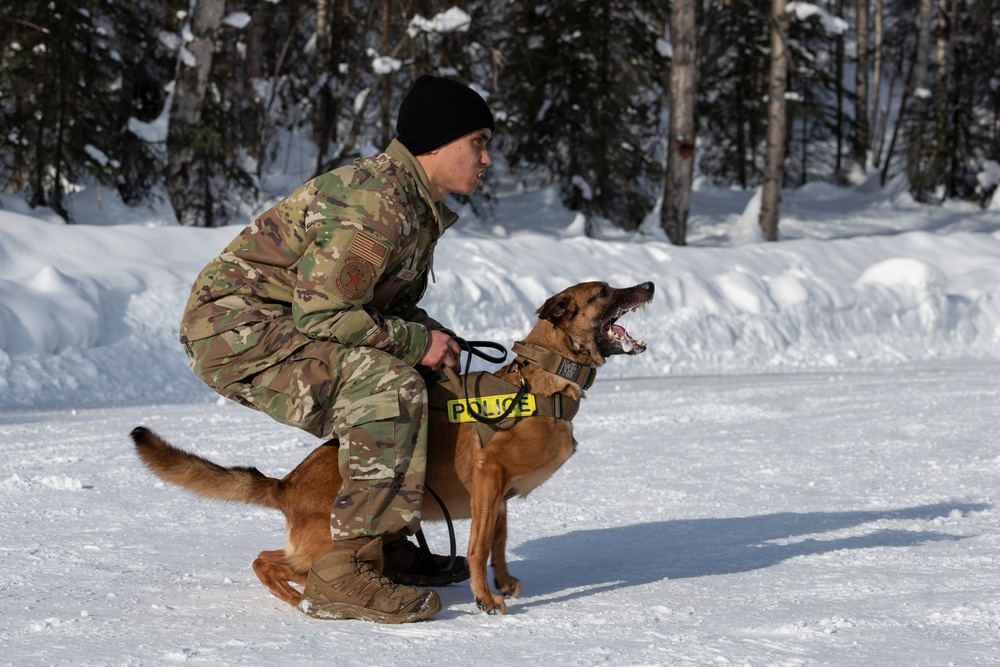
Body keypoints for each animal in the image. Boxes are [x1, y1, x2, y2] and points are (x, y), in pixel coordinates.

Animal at [129, 282, 652, 616]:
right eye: (603, 292)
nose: (647, 284)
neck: (544, 379)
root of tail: (288, 484)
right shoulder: (488, 477)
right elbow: (480, 545)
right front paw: (486, 599)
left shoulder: (498, 496)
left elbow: (499, 543)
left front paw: (502, 582)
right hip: (330, 540)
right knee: (267, 560)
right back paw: (302, 596)